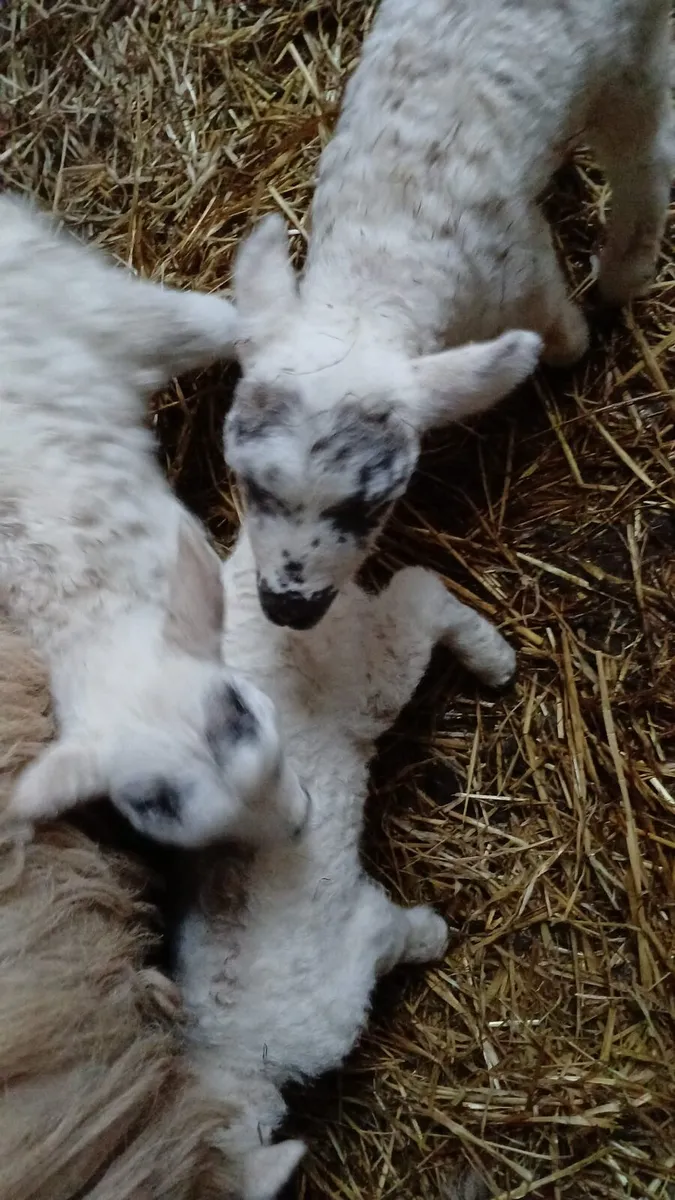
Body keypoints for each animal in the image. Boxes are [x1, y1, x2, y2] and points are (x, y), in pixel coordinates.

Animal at [176, 529, 516, 1200]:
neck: (234, 1052)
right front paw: (437, 933)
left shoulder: (358, 951)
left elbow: (402, 934)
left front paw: (436, 935)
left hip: (359, 675)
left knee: (420, 594)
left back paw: (495, 659)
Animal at [224, 0, 672, 631]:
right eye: (249, 483)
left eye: (375, 504)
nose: (288, 607)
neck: (379, 262)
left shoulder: (522, 276)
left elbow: (562, 334)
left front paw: (578, 340)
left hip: (633, 55)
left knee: (645, 153)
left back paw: (622, 273)